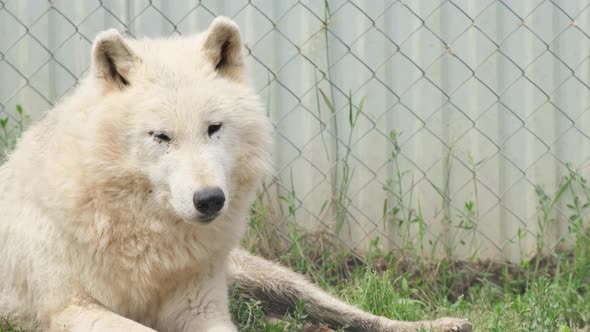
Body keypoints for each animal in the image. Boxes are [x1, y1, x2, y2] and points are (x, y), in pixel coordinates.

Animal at [0, 16, 474, 332]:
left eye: (213, 128)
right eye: (161, 137)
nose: (210, 199)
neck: (149, 240)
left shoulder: (201, 309)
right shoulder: (70, 309)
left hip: (272, 280)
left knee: (350, 315)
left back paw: (440, 324)